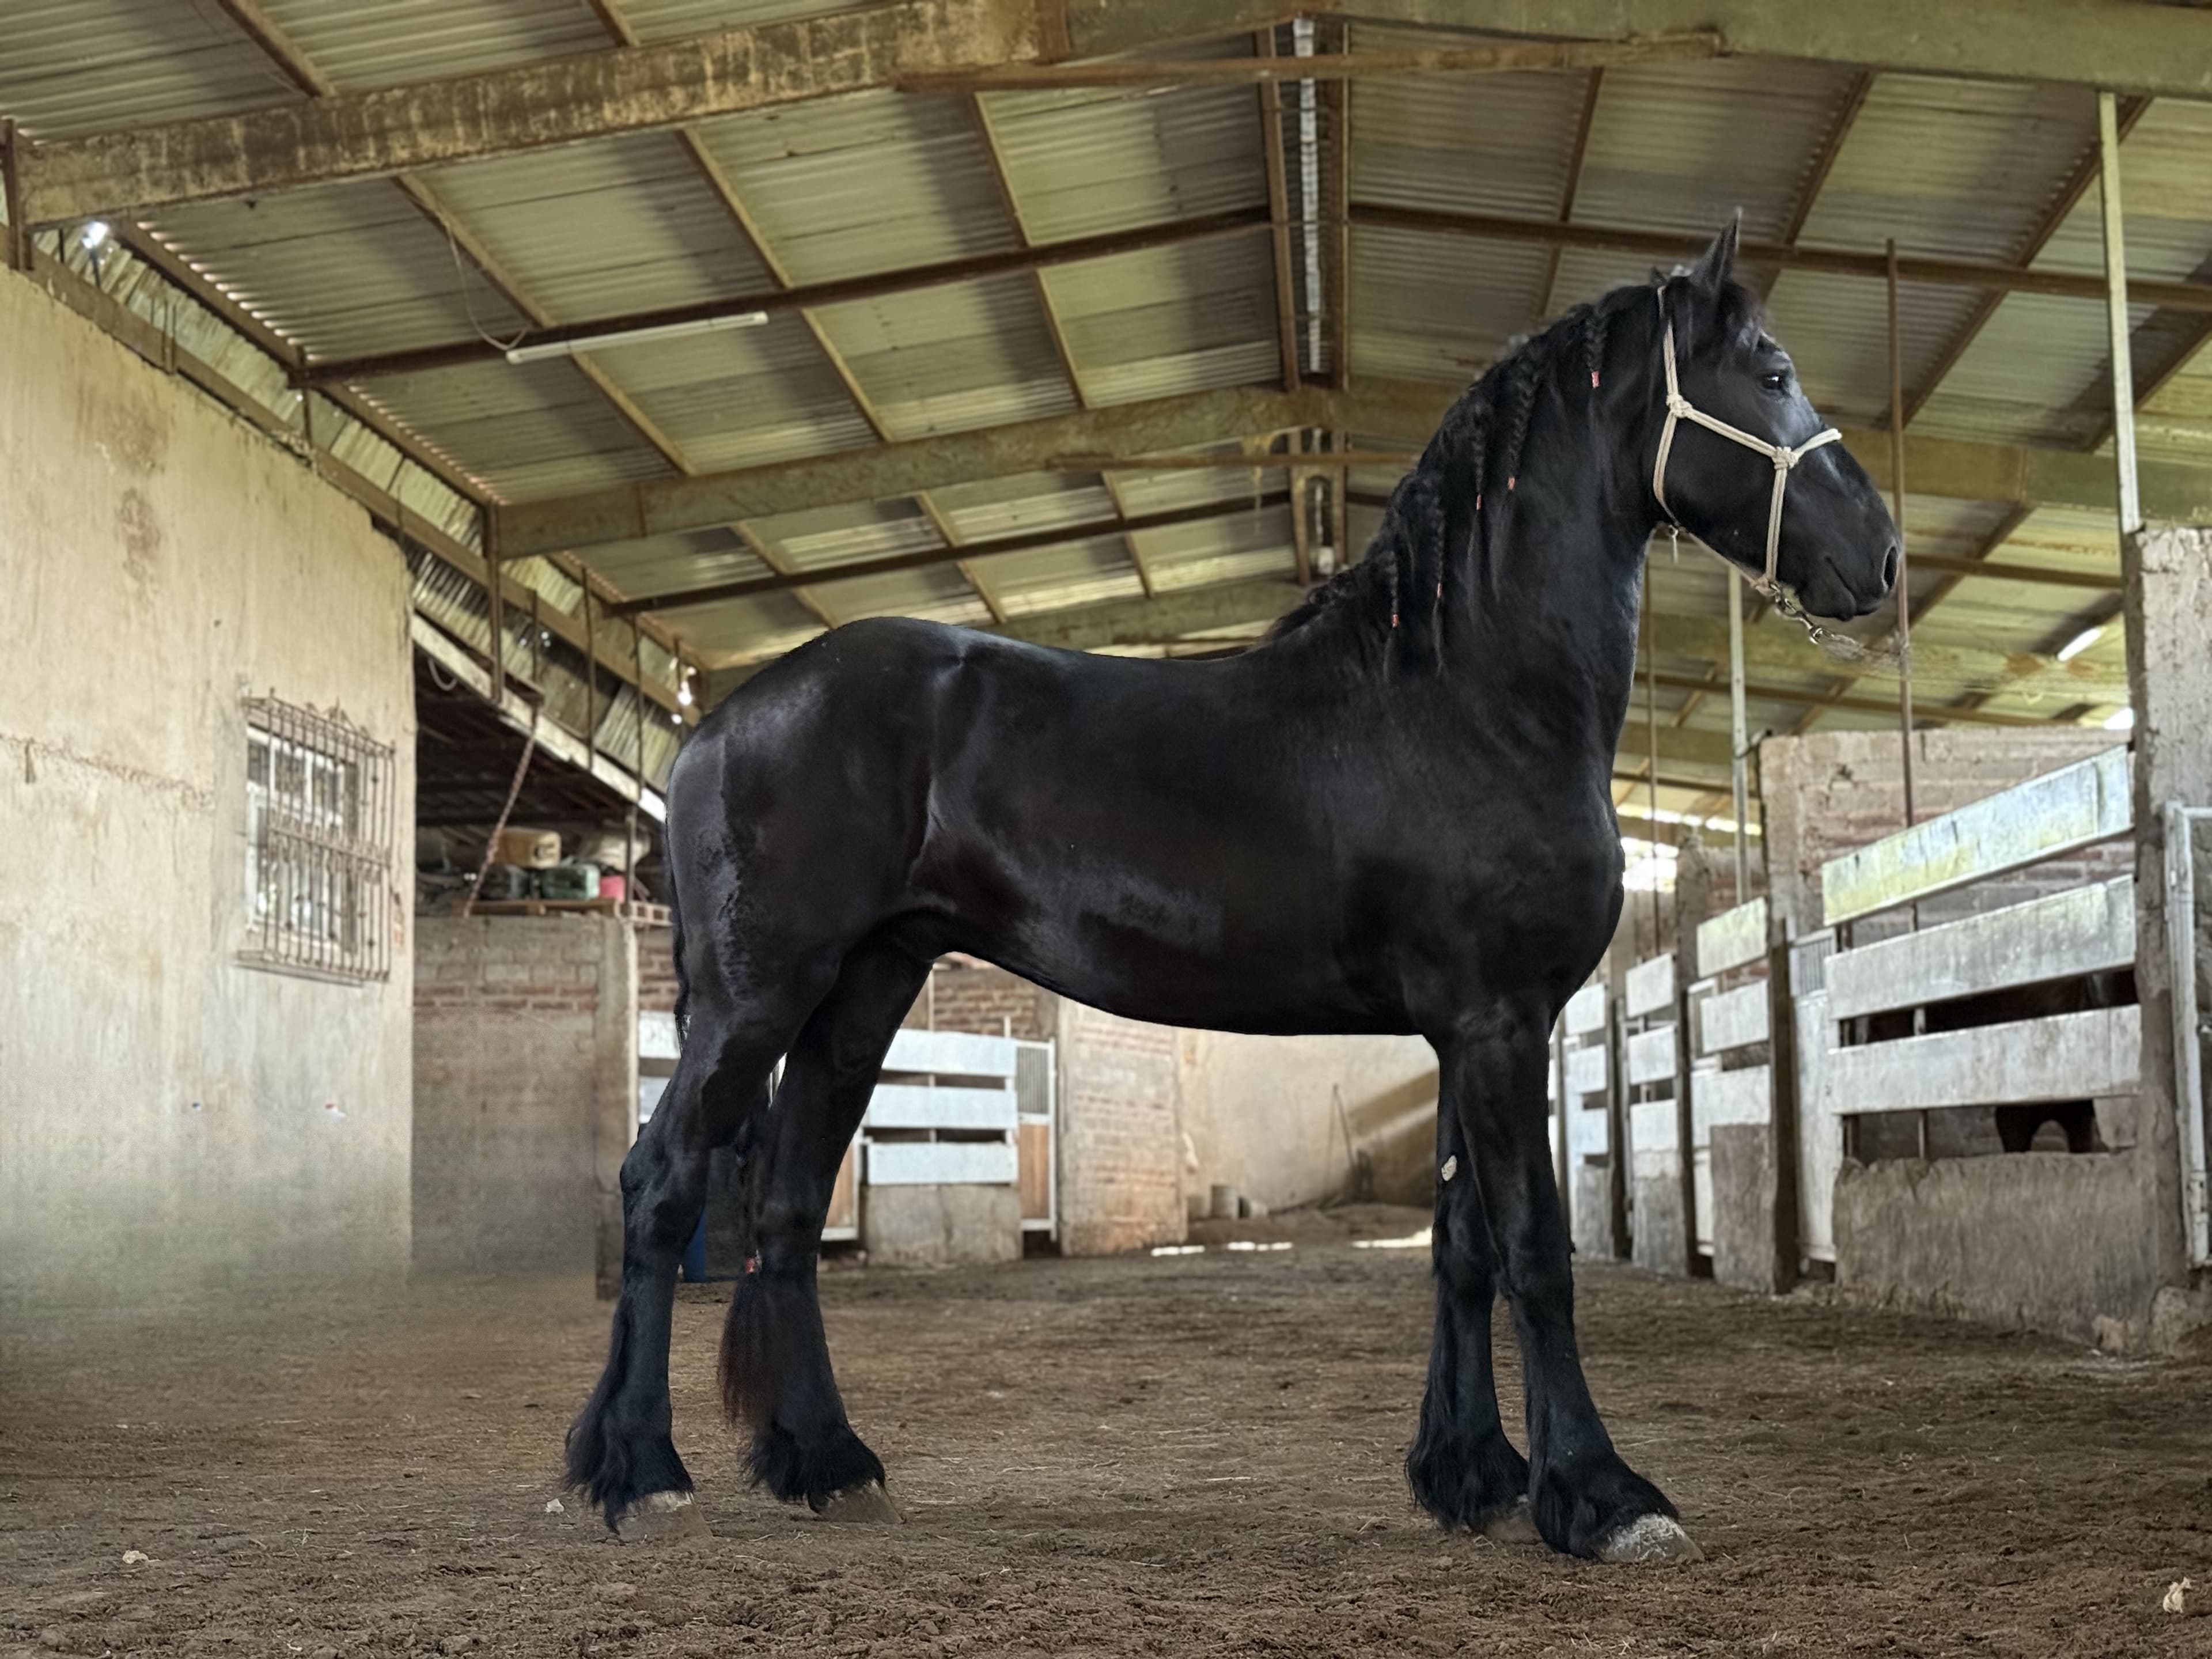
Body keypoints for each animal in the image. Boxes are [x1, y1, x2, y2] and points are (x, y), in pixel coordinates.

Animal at [565, 220, 1898, 1562]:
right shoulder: (1501, 1022)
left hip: (861, 996)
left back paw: (824, 1462)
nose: (1881, 557)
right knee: (661, 1184)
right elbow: (1534, 1248)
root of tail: (716, 719)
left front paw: (1472, 1473)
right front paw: (1604, 1495)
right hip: (759, 1000)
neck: (1469, 698)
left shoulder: (1466, 1032)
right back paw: (638, 1467)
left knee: (787, 1205)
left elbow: (1462, 1247)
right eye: (1774, 372)